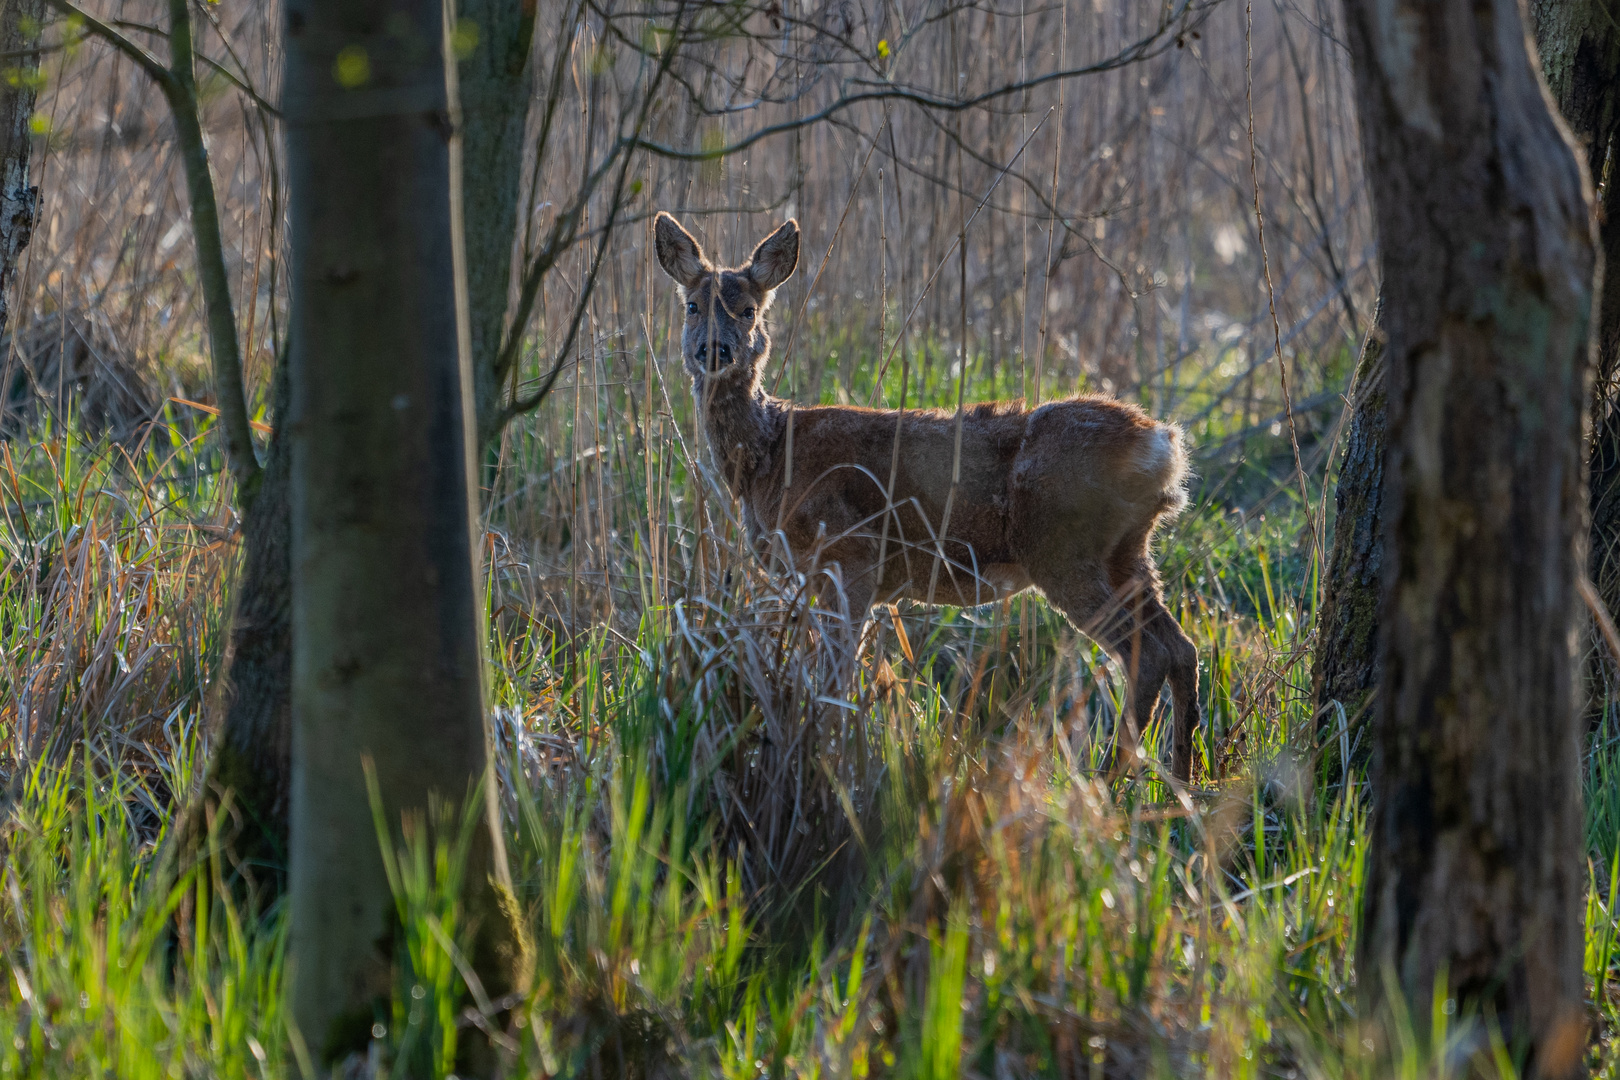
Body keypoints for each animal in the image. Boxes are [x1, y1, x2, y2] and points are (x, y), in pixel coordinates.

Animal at [648, 213, 1205, 777]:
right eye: (692, 305)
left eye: (748, 310)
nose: (714, 351)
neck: (768, 455)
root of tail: (1164, 445)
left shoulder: (850, 557)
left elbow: (835, 682)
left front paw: (831, 763)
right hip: (1127, 553)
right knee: (1181, 647)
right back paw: (1179, 777)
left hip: (1065, 550)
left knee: (1148, 654)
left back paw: (1109, 780)